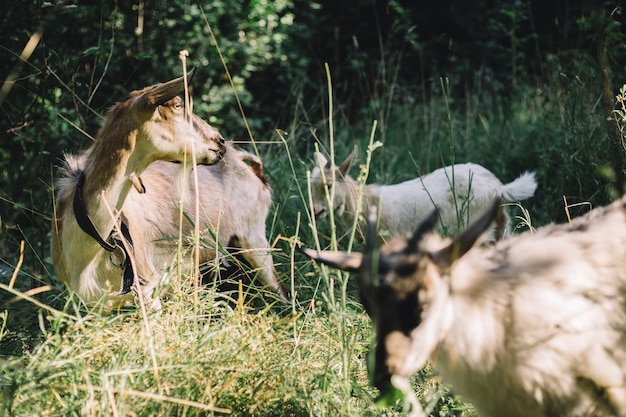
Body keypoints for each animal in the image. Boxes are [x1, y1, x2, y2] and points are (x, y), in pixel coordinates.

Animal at [310, 149, 532, 240]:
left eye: (329, 185)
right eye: (310, 186)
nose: (315, 212)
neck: (367, 203)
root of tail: (498, 187)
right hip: (502, 227)